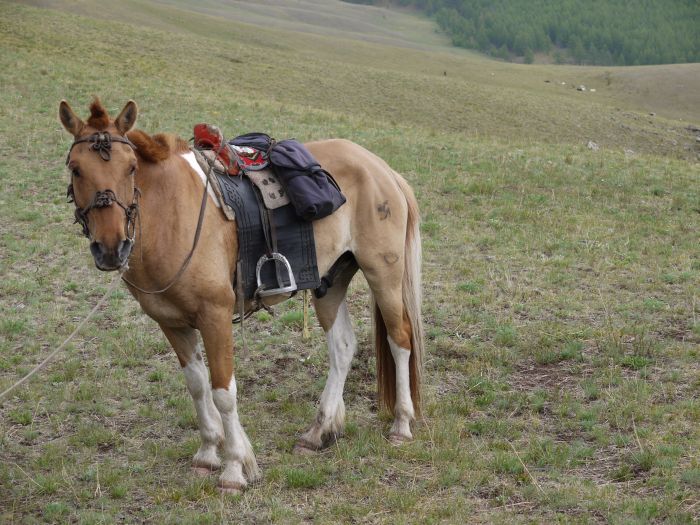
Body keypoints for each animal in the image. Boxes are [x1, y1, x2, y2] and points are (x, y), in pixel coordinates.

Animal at [58, 97, 422, 492]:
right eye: (76, 169)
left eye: (131, 168)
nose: (111, 248)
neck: (171, 213)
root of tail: (382, 169)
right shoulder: (172, 323)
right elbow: (197, 386)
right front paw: (207, 454)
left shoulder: (215, 317)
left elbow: (223, 392)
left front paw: (234, 468)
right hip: (330, 282)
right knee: (342, 347)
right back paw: (318, 431)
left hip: (383, 273)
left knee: (400, 339)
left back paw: (401, 424)